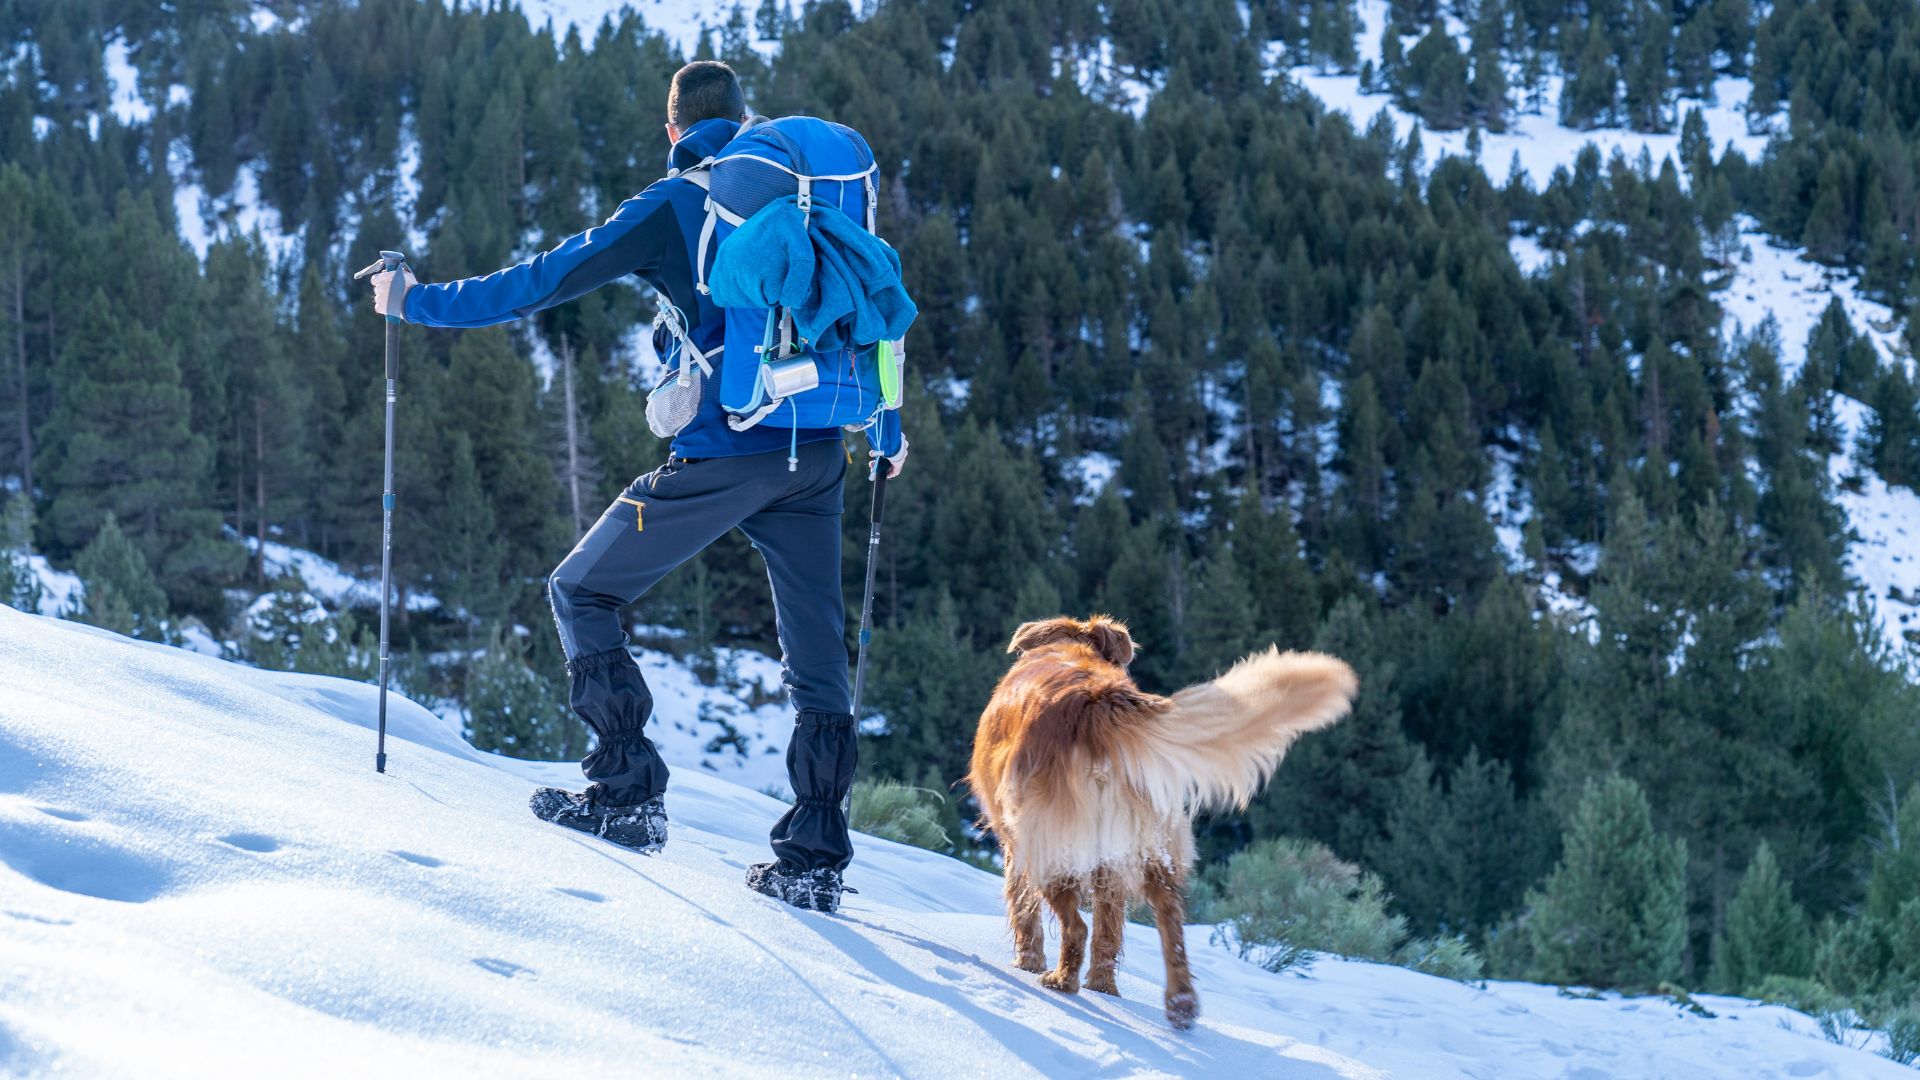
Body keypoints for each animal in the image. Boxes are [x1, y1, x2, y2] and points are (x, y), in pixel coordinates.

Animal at [967, 614, 1359, 1022]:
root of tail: (1098, 703)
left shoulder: (1014, 841)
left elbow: (1023, 907)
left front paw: (1028, 963)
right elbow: (1109, 928)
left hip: (1050, 842)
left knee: (1077, 927)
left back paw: (1062, 982)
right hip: (1148, 841)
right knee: (1165, 918)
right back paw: (1173, 1001)